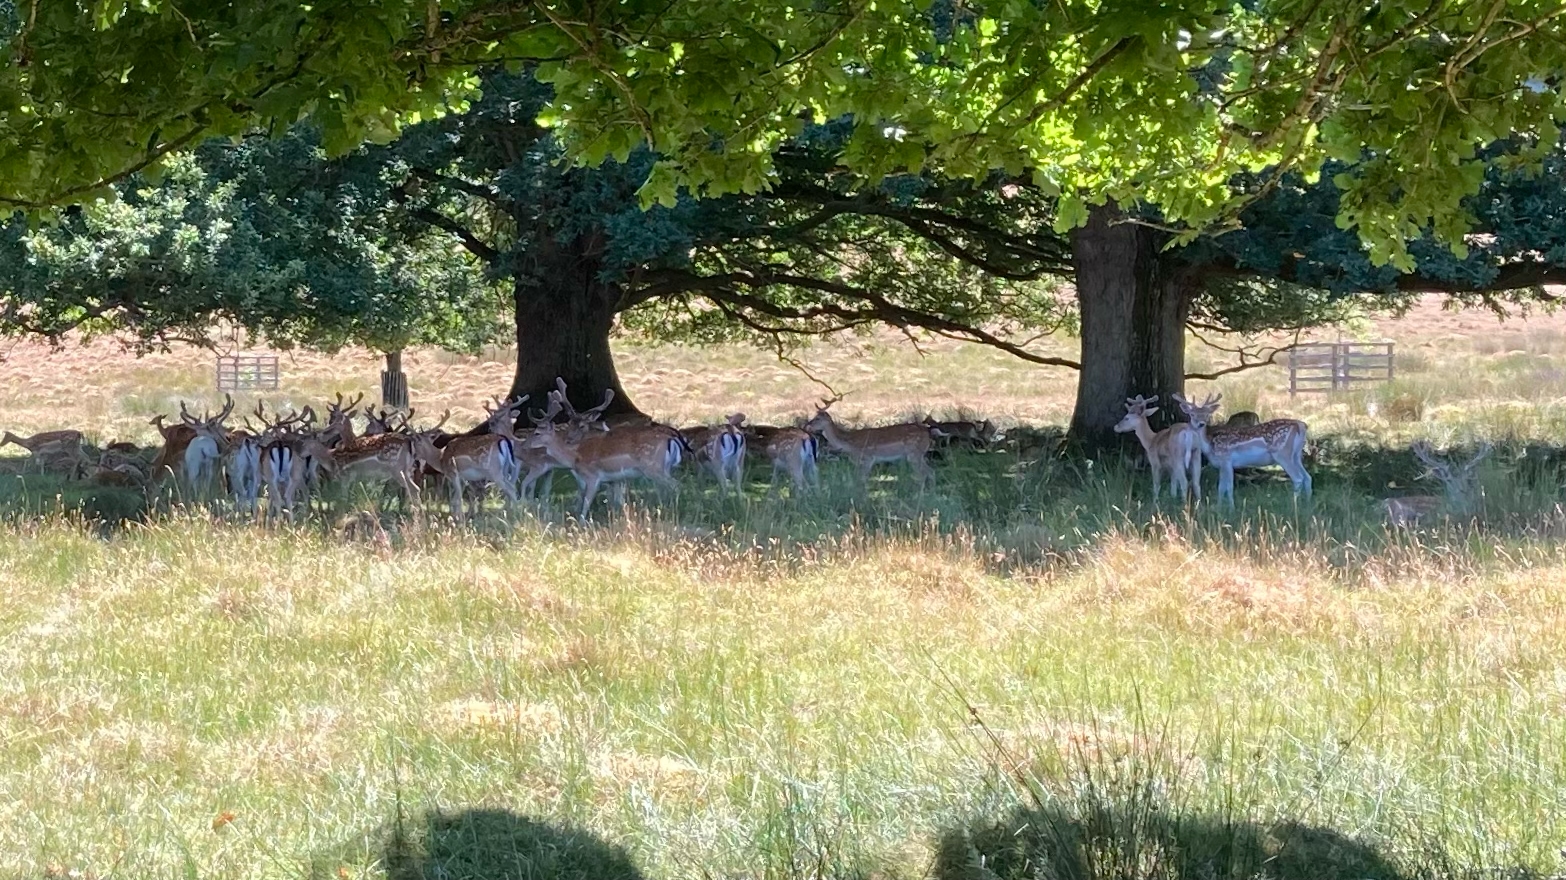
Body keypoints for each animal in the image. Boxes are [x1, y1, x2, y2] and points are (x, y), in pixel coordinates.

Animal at [803, 401, 934, 486]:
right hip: (919, 455)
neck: (848, 444)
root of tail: (927, 433)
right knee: (930, 471)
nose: (807, 425)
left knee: (924, 473)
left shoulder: (868, 458)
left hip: (914, 454)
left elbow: (861, 480)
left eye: (817, 418)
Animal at [1174, 392, 1312, 505]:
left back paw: (1293, 505)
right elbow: (1221, 488)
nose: (1201, 424)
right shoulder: (1222, 465)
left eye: (1207, 415)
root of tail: (1302, 426)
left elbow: (1227, 487)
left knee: (1298, 478)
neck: (1209, 446)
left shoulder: (1226, 460)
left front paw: (1231, 509)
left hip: (1282, 453)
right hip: (1296, 455)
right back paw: (1307, 504)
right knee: (1307, 477)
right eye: (1192, 414)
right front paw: (1219, 508)